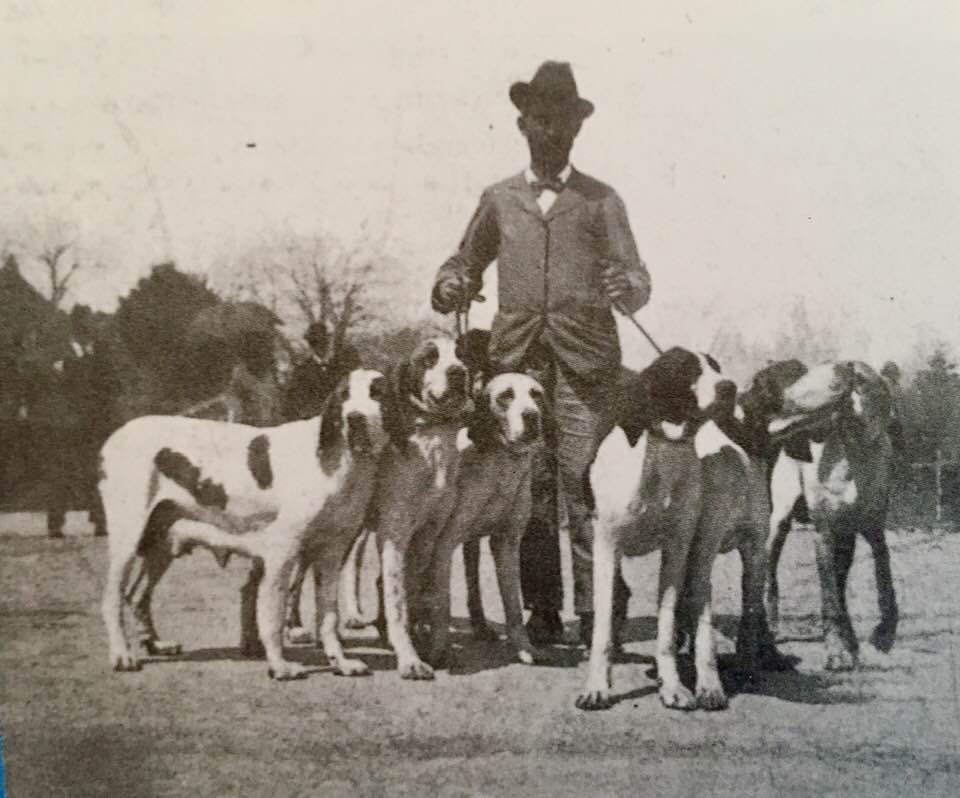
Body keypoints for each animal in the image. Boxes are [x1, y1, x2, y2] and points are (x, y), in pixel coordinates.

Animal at [101, 368, 390, 680]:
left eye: (377, 393)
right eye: (344, 396)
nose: (355, 418)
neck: (337, 462)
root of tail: (114, 438)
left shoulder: (331, 556)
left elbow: (328, 616)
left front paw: (341, 662)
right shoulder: (281, 557)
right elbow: (273, 616)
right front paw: (279, 666)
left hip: (162, 548)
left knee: (137, 596)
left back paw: (155, 644)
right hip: (127, 540)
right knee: (113, 598)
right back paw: (122, 655)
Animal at [572, 348, 740, 712]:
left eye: (716, 367)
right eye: (687, 369)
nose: (729, 388)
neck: (662, 453)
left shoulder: (677, 548)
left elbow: (665, 626)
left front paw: (673, 688)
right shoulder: (606, 547)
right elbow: (602, 629)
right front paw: (597, 688)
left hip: (698, 553)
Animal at [764, 360, 900, 668]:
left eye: (831, 385)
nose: (771, 399)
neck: (853, 451)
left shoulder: (874, 529)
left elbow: (884, 579)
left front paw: (883, 634)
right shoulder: (823, 533)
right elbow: (828, 597)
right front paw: (836, 651)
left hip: (845, 539)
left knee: (841, 582)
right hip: (779, 523)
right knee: (771, 576)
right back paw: (772, 627)